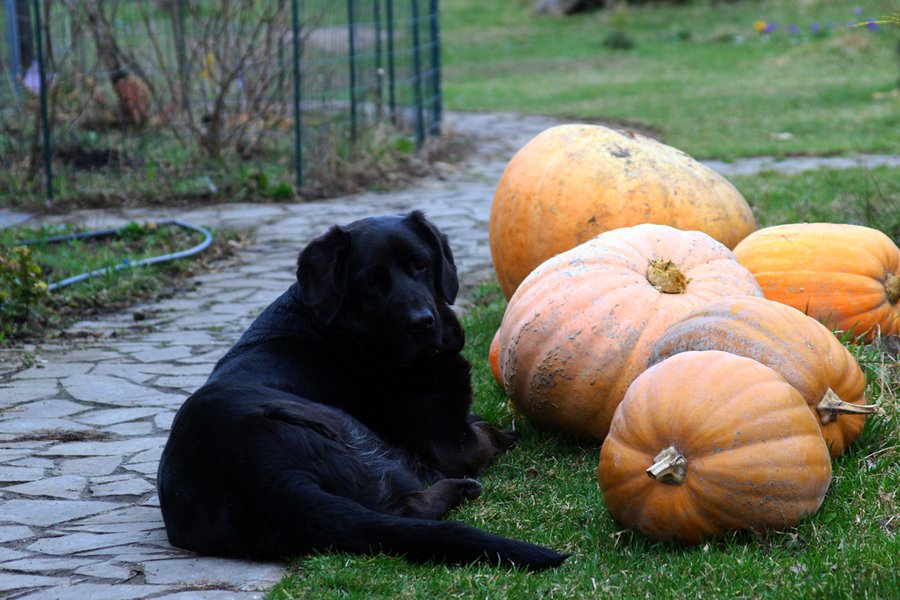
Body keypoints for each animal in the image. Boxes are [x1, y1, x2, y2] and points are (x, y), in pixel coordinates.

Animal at [157, 211, 566, 570]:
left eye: (421, 264)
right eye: (371, 280)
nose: (422, 322)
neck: (351, 335)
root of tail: (270, 488)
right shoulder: (452, 444)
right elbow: (486, 436)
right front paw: (504, 436)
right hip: (343, 430)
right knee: (408, 505)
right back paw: (460, 488)